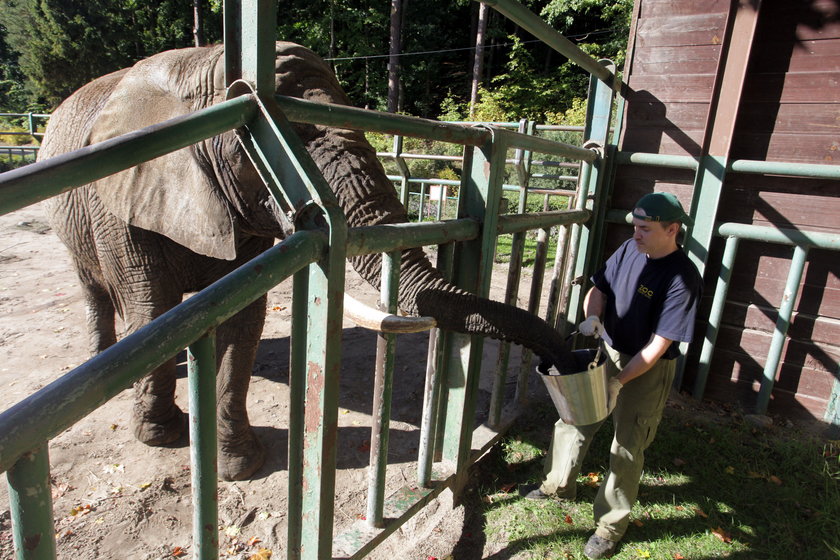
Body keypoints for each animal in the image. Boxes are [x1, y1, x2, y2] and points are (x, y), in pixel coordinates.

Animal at [41, 42, 576, 482]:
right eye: (289, 137)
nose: (571, 358)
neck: (197, 61)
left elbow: (242, 322)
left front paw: (239, 465)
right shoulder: (118, 199)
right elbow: (152, 309)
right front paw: (162, 436)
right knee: (99, 291)